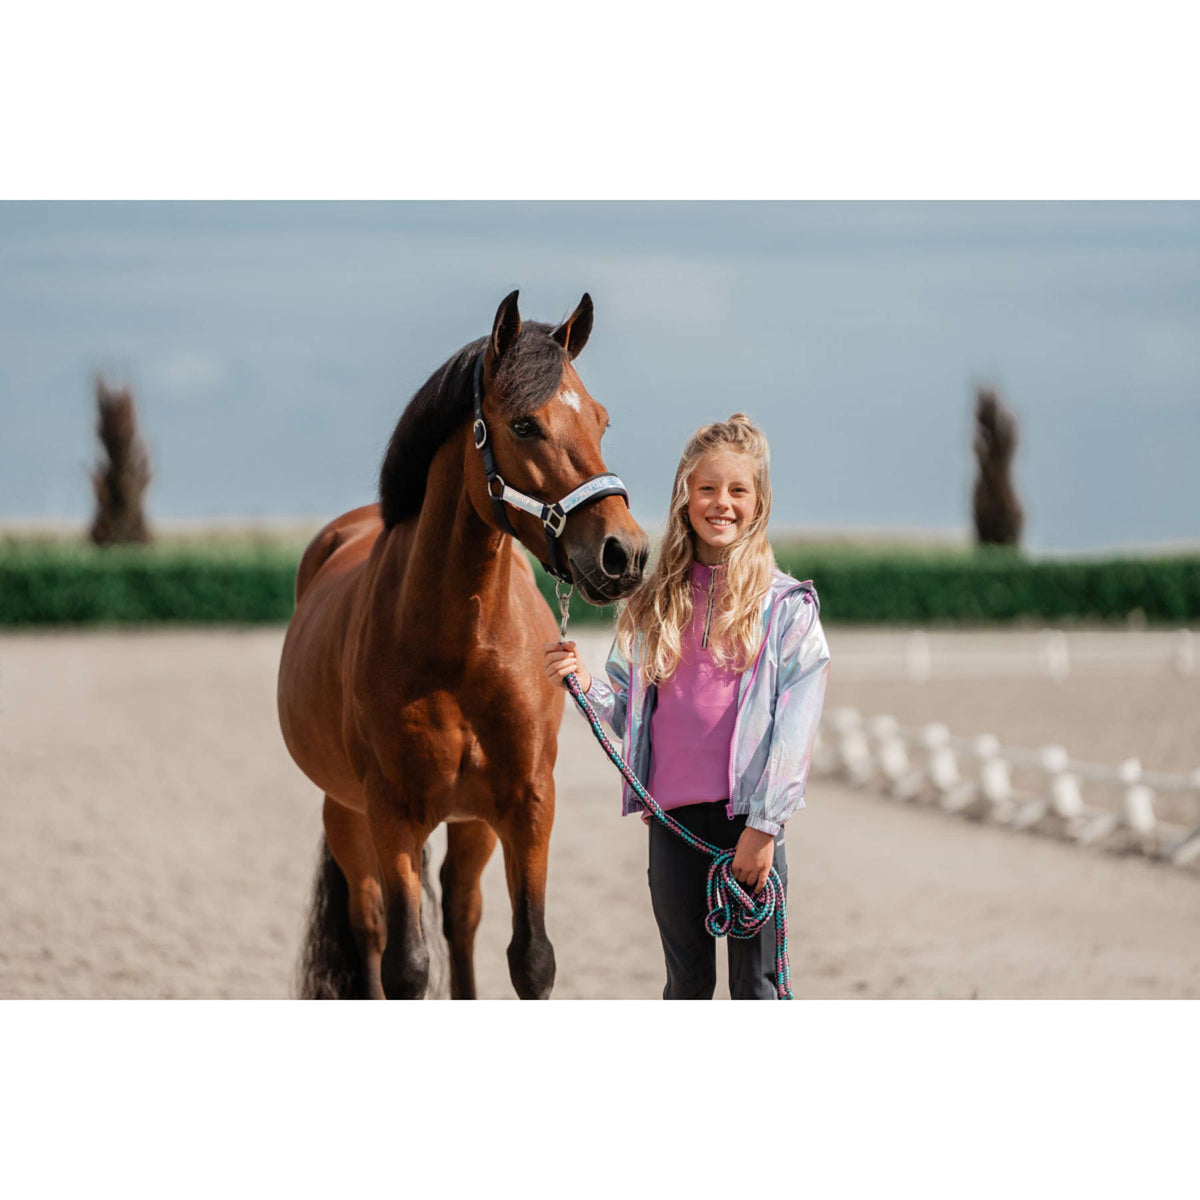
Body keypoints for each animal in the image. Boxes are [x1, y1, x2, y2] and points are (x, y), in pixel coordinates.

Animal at [278, 291, 648, 999]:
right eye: (524, 425)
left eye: (603, 421)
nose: (626, 553)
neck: (461, 649)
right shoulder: (390, 810)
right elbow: (405, 966)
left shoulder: (527, 803)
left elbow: (531, 957)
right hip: (346, 811)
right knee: (370, 925)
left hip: (469, 821)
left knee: (460, 914)